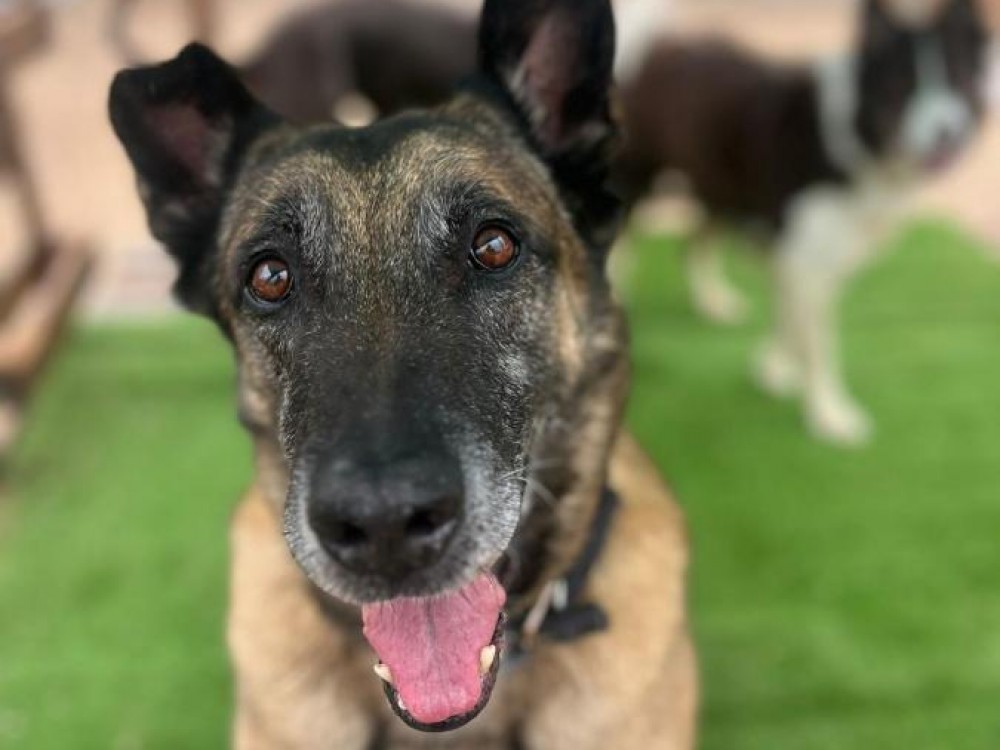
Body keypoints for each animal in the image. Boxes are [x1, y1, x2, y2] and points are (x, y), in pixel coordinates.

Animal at [617, 0, 991, 446]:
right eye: (903, 84)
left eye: (959, 79)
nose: (948, 131)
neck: (855, 142)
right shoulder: (807, 261)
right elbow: (821, 345)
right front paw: (828, 414)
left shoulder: (807, 257)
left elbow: (790, 320)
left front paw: (776, 370)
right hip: (640, 183)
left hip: (718, 185)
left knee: (694, 243)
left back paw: (713, 301)